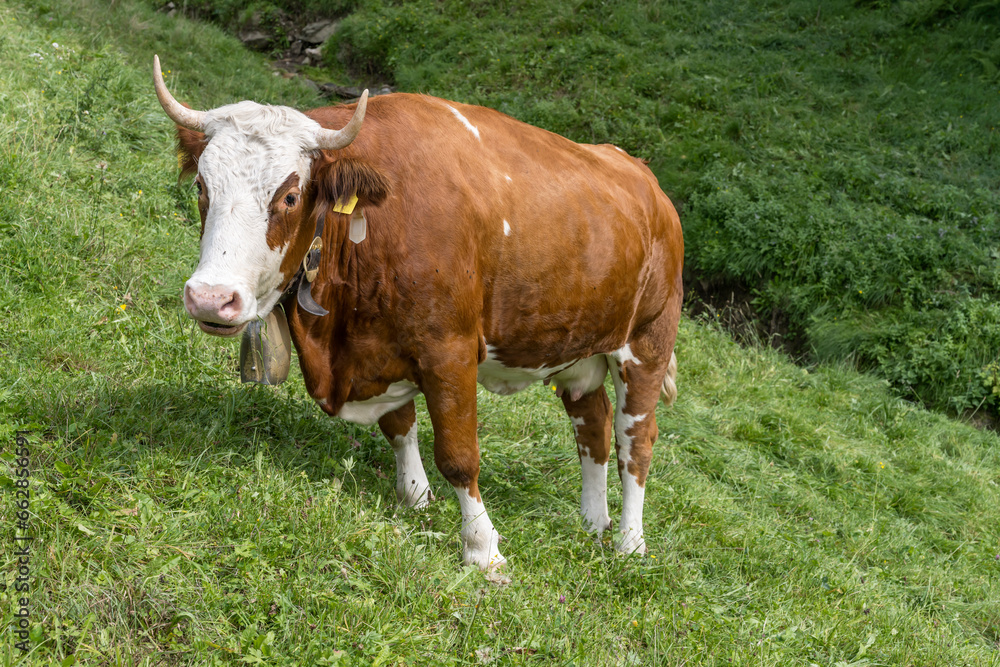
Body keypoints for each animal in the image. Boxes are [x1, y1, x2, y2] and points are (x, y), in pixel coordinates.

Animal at [154, 56, 688, 568]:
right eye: (202, 186)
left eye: (288, 196)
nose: (211, 297)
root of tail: (646, 179)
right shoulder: (379, 345)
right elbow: (399, 426)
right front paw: (415, 499)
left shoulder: (449, 349)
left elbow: (458, 454)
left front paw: (483, 551)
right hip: (578, 345)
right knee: (593, 425)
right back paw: (591, 522)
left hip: (647, 342)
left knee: (636, 442)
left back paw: (629, 543)